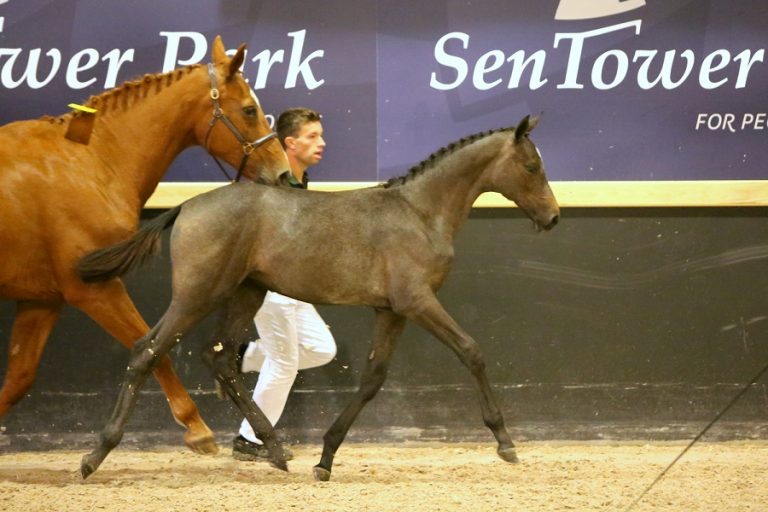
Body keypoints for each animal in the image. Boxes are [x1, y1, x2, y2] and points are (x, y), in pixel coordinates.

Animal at [0, 35, 290, 455]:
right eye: (250, 110)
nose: (284, 173)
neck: (91, 161)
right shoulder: (96, 289)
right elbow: (155, 352)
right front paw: (197, 429)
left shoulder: (41, 299)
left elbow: (17, 381)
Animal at [76, 115, 560, 479]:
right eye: (531, 166)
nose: (553, 217)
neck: (420, 212)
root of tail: (186, 207)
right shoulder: (417, 302)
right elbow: (471, 351)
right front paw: (505, 442)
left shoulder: (390, 311)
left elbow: (372, 379)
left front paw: (326, 457)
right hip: (198, 294)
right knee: (147, 350)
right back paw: (95, 456)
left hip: (246, 292)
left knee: (220, 356)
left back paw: (275, 449)